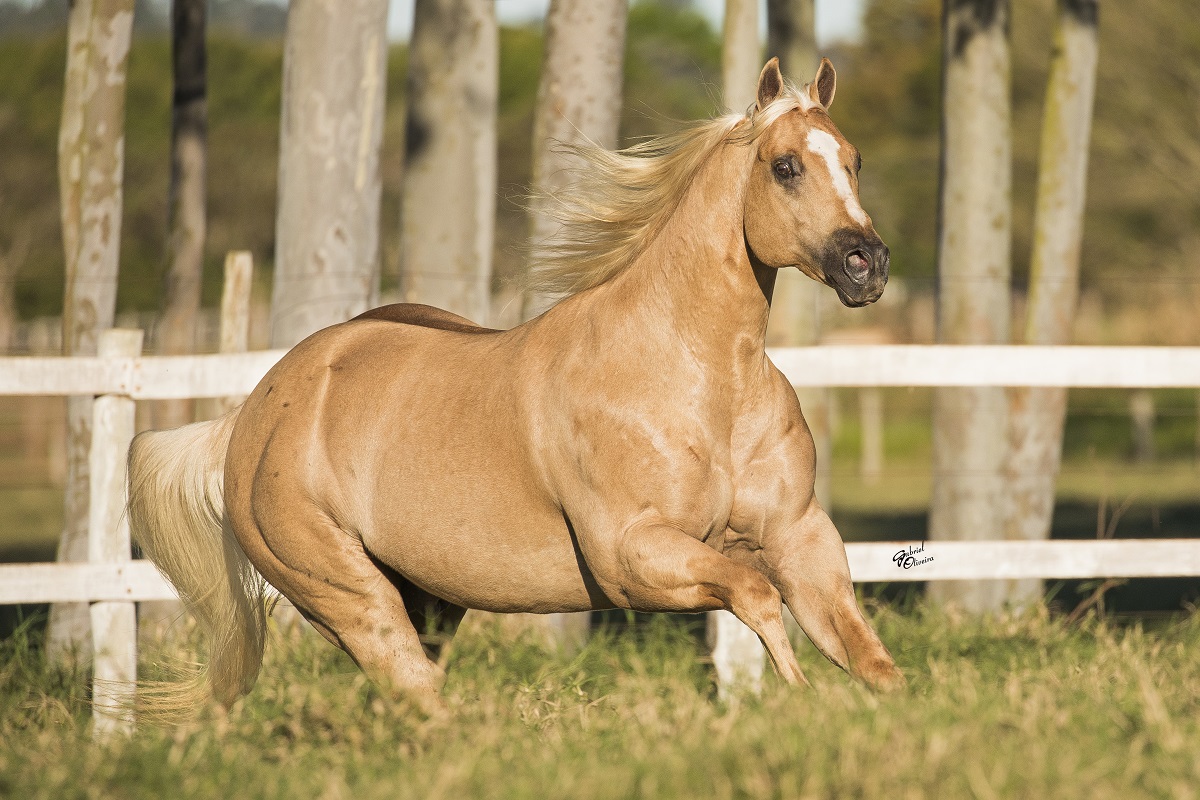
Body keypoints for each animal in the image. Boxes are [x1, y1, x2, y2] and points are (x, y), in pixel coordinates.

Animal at [129, 57, 902, 714]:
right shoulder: (632, 553)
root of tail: (251, 416)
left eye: (857, 161)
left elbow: (865, 654)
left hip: (430, 603)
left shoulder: (800, 536)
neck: (699, 383)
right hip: (351, 600)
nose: (865, 262)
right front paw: (797, 699)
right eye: (785, 165)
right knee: (416, 695)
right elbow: (755, 593)